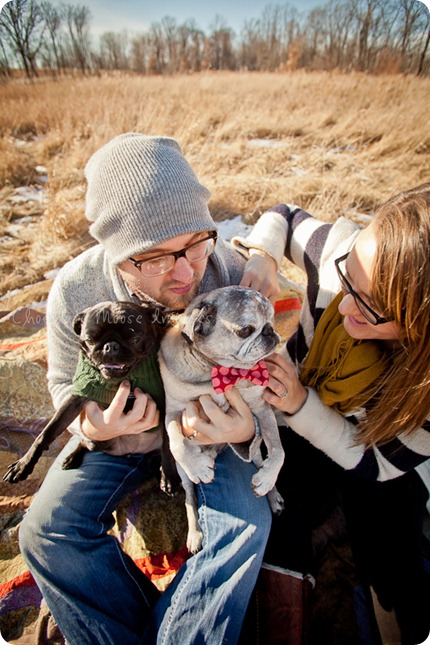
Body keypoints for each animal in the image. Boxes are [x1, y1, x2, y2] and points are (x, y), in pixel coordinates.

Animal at [2, 300, 179, 494]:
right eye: (90, 340)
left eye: (134, 339)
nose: (110, 346)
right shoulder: (78, 396)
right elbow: (47, 432)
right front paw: (23, 465)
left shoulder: (165, 406)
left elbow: (168, 444)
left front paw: (169, 476)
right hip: (97, 440)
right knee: (84, 442)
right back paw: (72, 457)